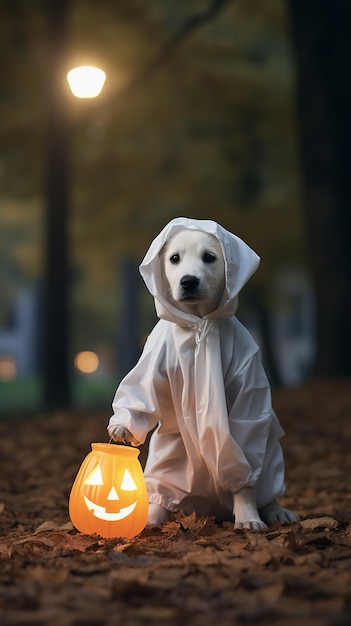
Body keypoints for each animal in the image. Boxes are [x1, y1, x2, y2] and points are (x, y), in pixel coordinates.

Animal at [108, 217, 300, 528]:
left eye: (209, 257)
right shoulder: (150, 364)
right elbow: (140, 394)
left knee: (267, 486)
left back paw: (276, 510)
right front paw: (123, 424)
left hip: (269, 451)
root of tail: (213, 507)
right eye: (174, 258)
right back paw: (153, 515)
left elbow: (244, 479)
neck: (198, 323)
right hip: (170, 453)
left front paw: (248, 517)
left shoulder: (247, 385)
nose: (188, 281)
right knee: (163, 487)